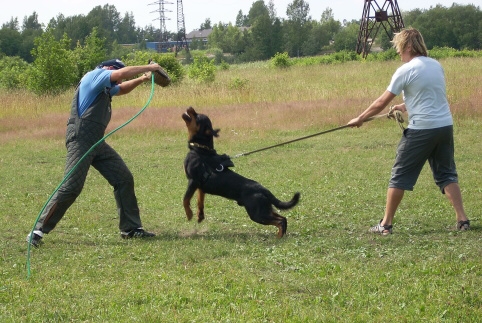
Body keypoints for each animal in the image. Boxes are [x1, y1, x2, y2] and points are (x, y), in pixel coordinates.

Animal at [183, 107, 300, 238]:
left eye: (197, 116)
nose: (190, 108)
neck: (200, 149)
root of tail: (264, 189)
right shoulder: (200, 186)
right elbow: (200, 201)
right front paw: (199, 216)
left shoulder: (193, 181)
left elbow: (185, 199)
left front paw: (189, 214)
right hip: (265, 209)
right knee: (283, 218)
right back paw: (280, 236)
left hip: (257, 213)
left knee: (280, 221)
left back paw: (278, 237)